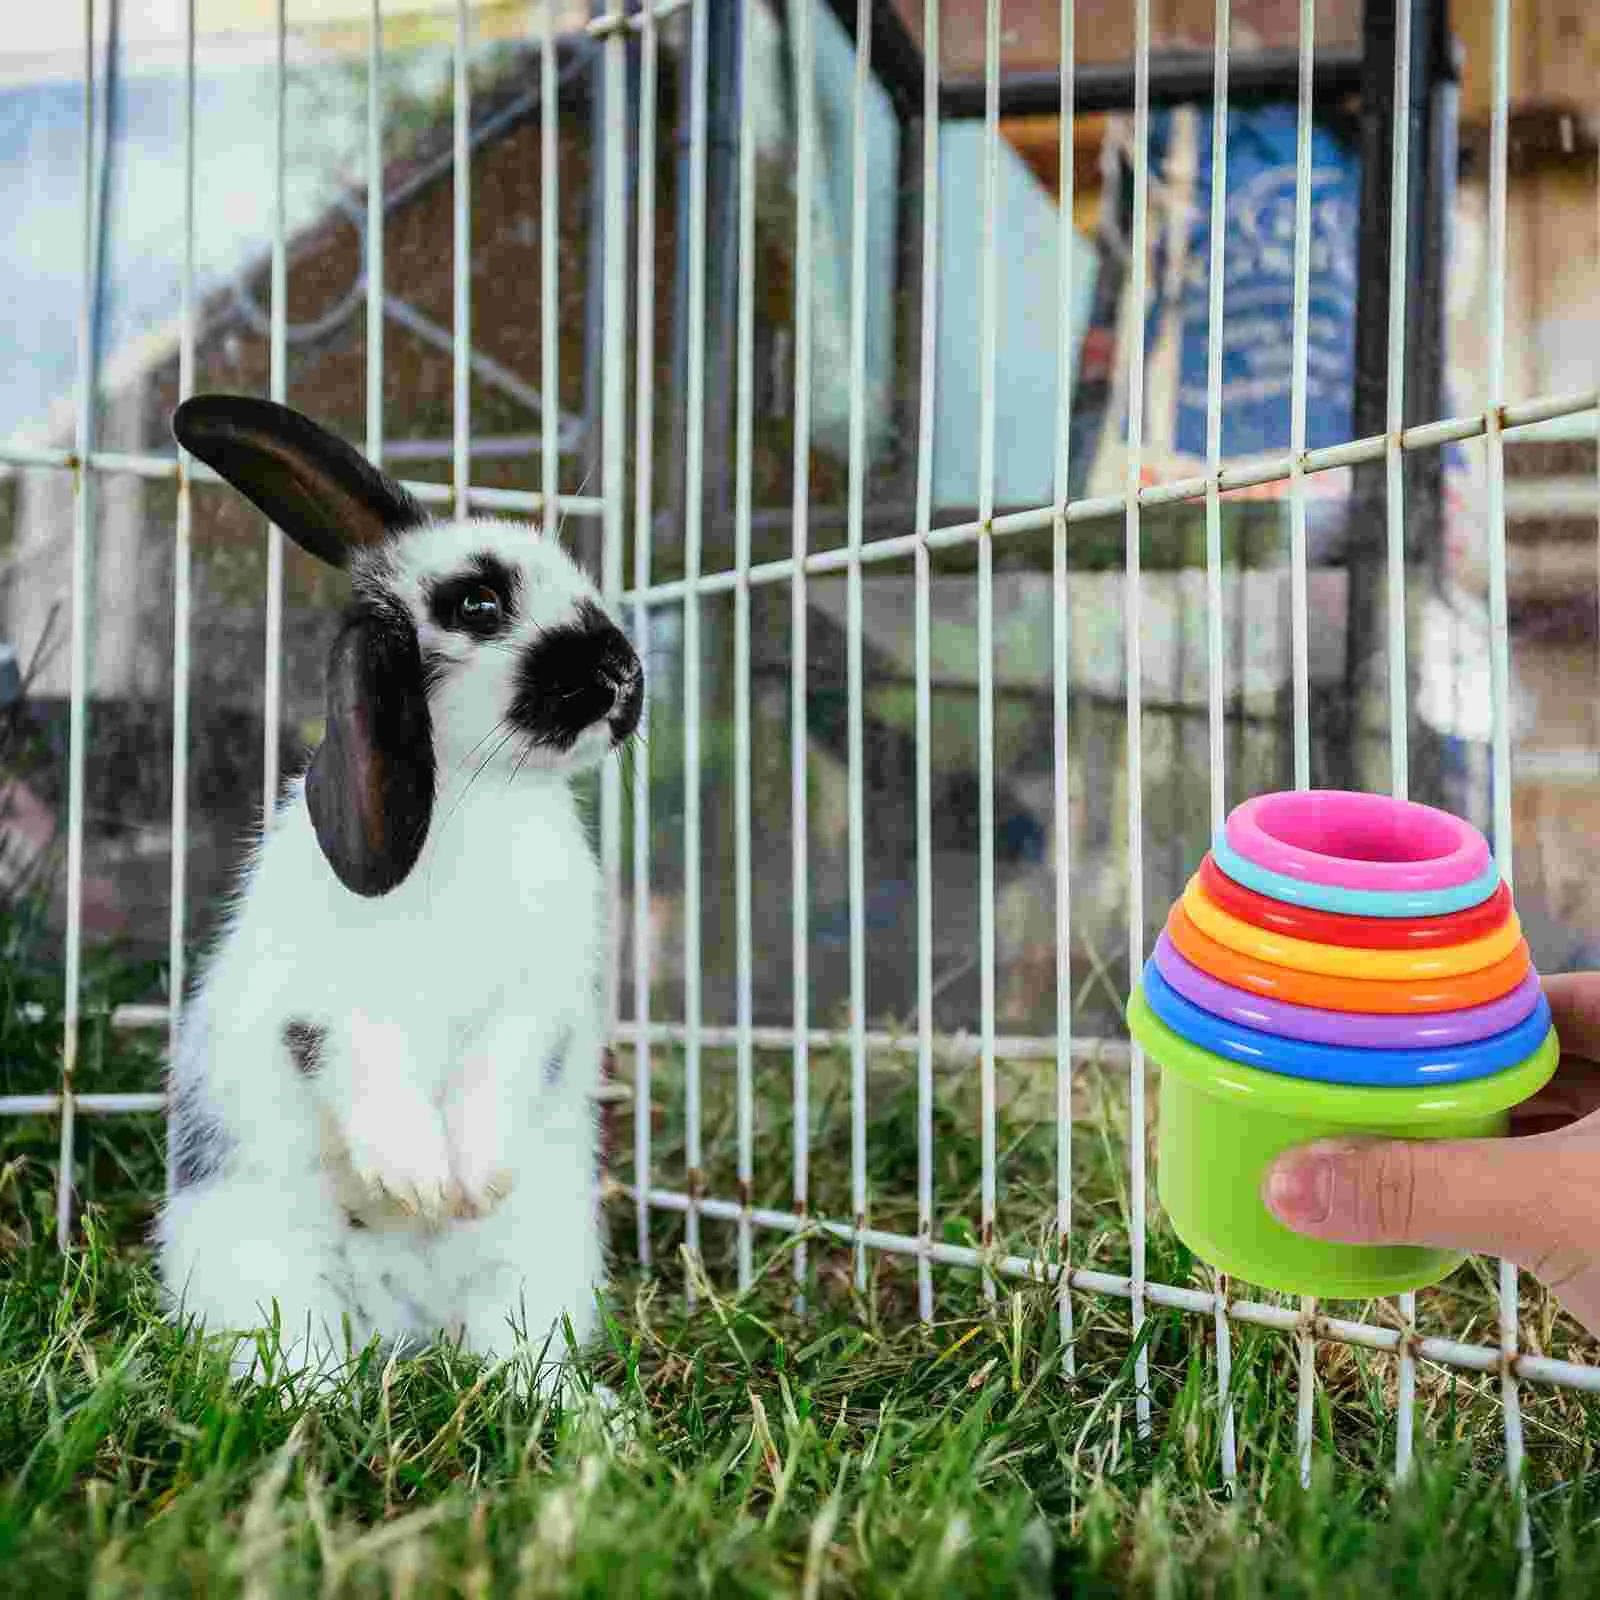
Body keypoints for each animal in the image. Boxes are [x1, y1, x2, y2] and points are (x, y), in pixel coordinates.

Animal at [152, 393, 640, 1382]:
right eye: (479, 603)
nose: (623, 675)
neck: (477, 794)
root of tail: (405, 1324)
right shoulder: (329, 1003)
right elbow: (367, 1059)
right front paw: (416, 1182)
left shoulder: (536, 1001)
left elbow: (501, 1067)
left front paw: (472, 1182)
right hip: (261, 1262)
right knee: (298, 1351)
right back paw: (316, 1397)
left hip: (539, 1267)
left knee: (515, 1354)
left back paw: (579, 1408)